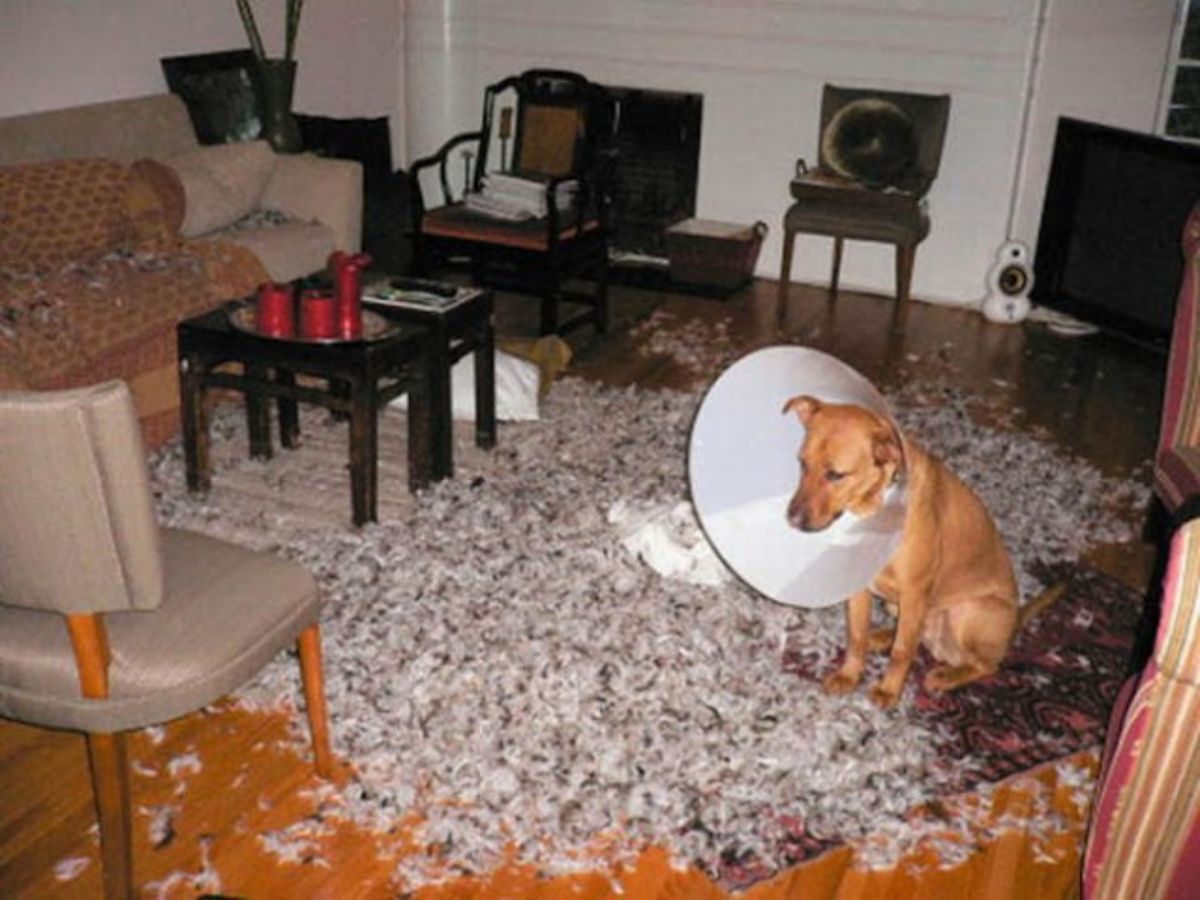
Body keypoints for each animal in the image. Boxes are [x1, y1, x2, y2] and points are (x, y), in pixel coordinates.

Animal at [782, 398, 1046, 710]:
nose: (792, 519)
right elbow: (856, 637)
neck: (878, 507)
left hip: (967, 610)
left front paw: (888, 690)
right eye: (802, 463)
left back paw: (947, 675)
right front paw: (849, 675)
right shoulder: (860, 589)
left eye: (835, 475)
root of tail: (1016, 620)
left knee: (986, 664)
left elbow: (902, 651)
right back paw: (882, 636)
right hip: (900, 607)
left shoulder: (914, 591)